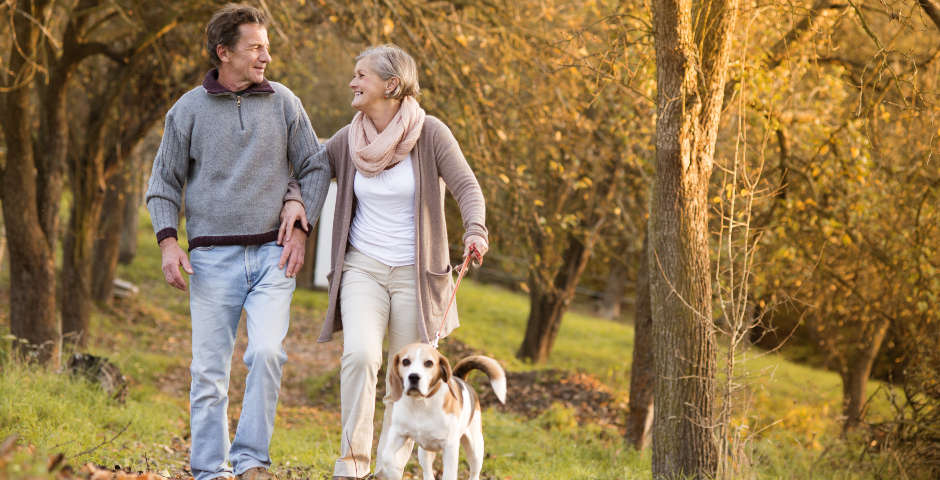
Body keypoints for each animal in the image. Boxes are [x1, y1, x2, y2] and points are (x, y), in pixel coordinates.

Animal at [374, 344, 506, 480]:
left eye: (429, 363)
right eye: (405, 361)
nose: (414, 377)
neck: (420, 403)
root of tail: (461, 380)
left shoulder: (450, 447)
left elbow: (449, 475)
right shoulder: (398, 433)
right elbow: (386, 457)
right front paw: (393, 472)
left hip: (475, 450)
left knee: (474, 473)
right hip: (424, 452)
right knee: (427, 471)